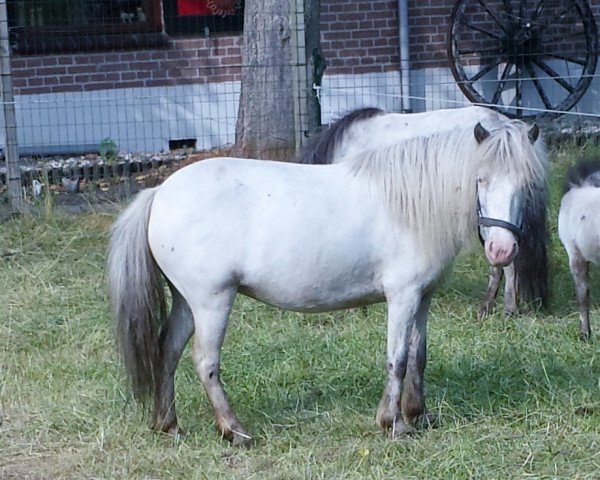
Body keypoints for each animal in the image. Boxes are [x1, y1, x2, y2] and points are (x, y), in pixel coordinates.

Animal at [108, 114, 548, 444]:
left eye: (526, 184)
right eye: (480, 179)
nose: (502, 251)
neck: (411, 203)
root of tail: (159, 193)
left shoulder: (423, 298)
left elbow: (418, 355)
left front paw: (418, 415)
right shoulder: (402, 297)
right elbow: (397, 359)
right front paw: (393, 423)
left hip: (187, 301)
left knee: (167, 352)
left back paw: (168, 424)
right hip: (211, 302)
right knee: (205, 361)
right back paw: (234, 430)